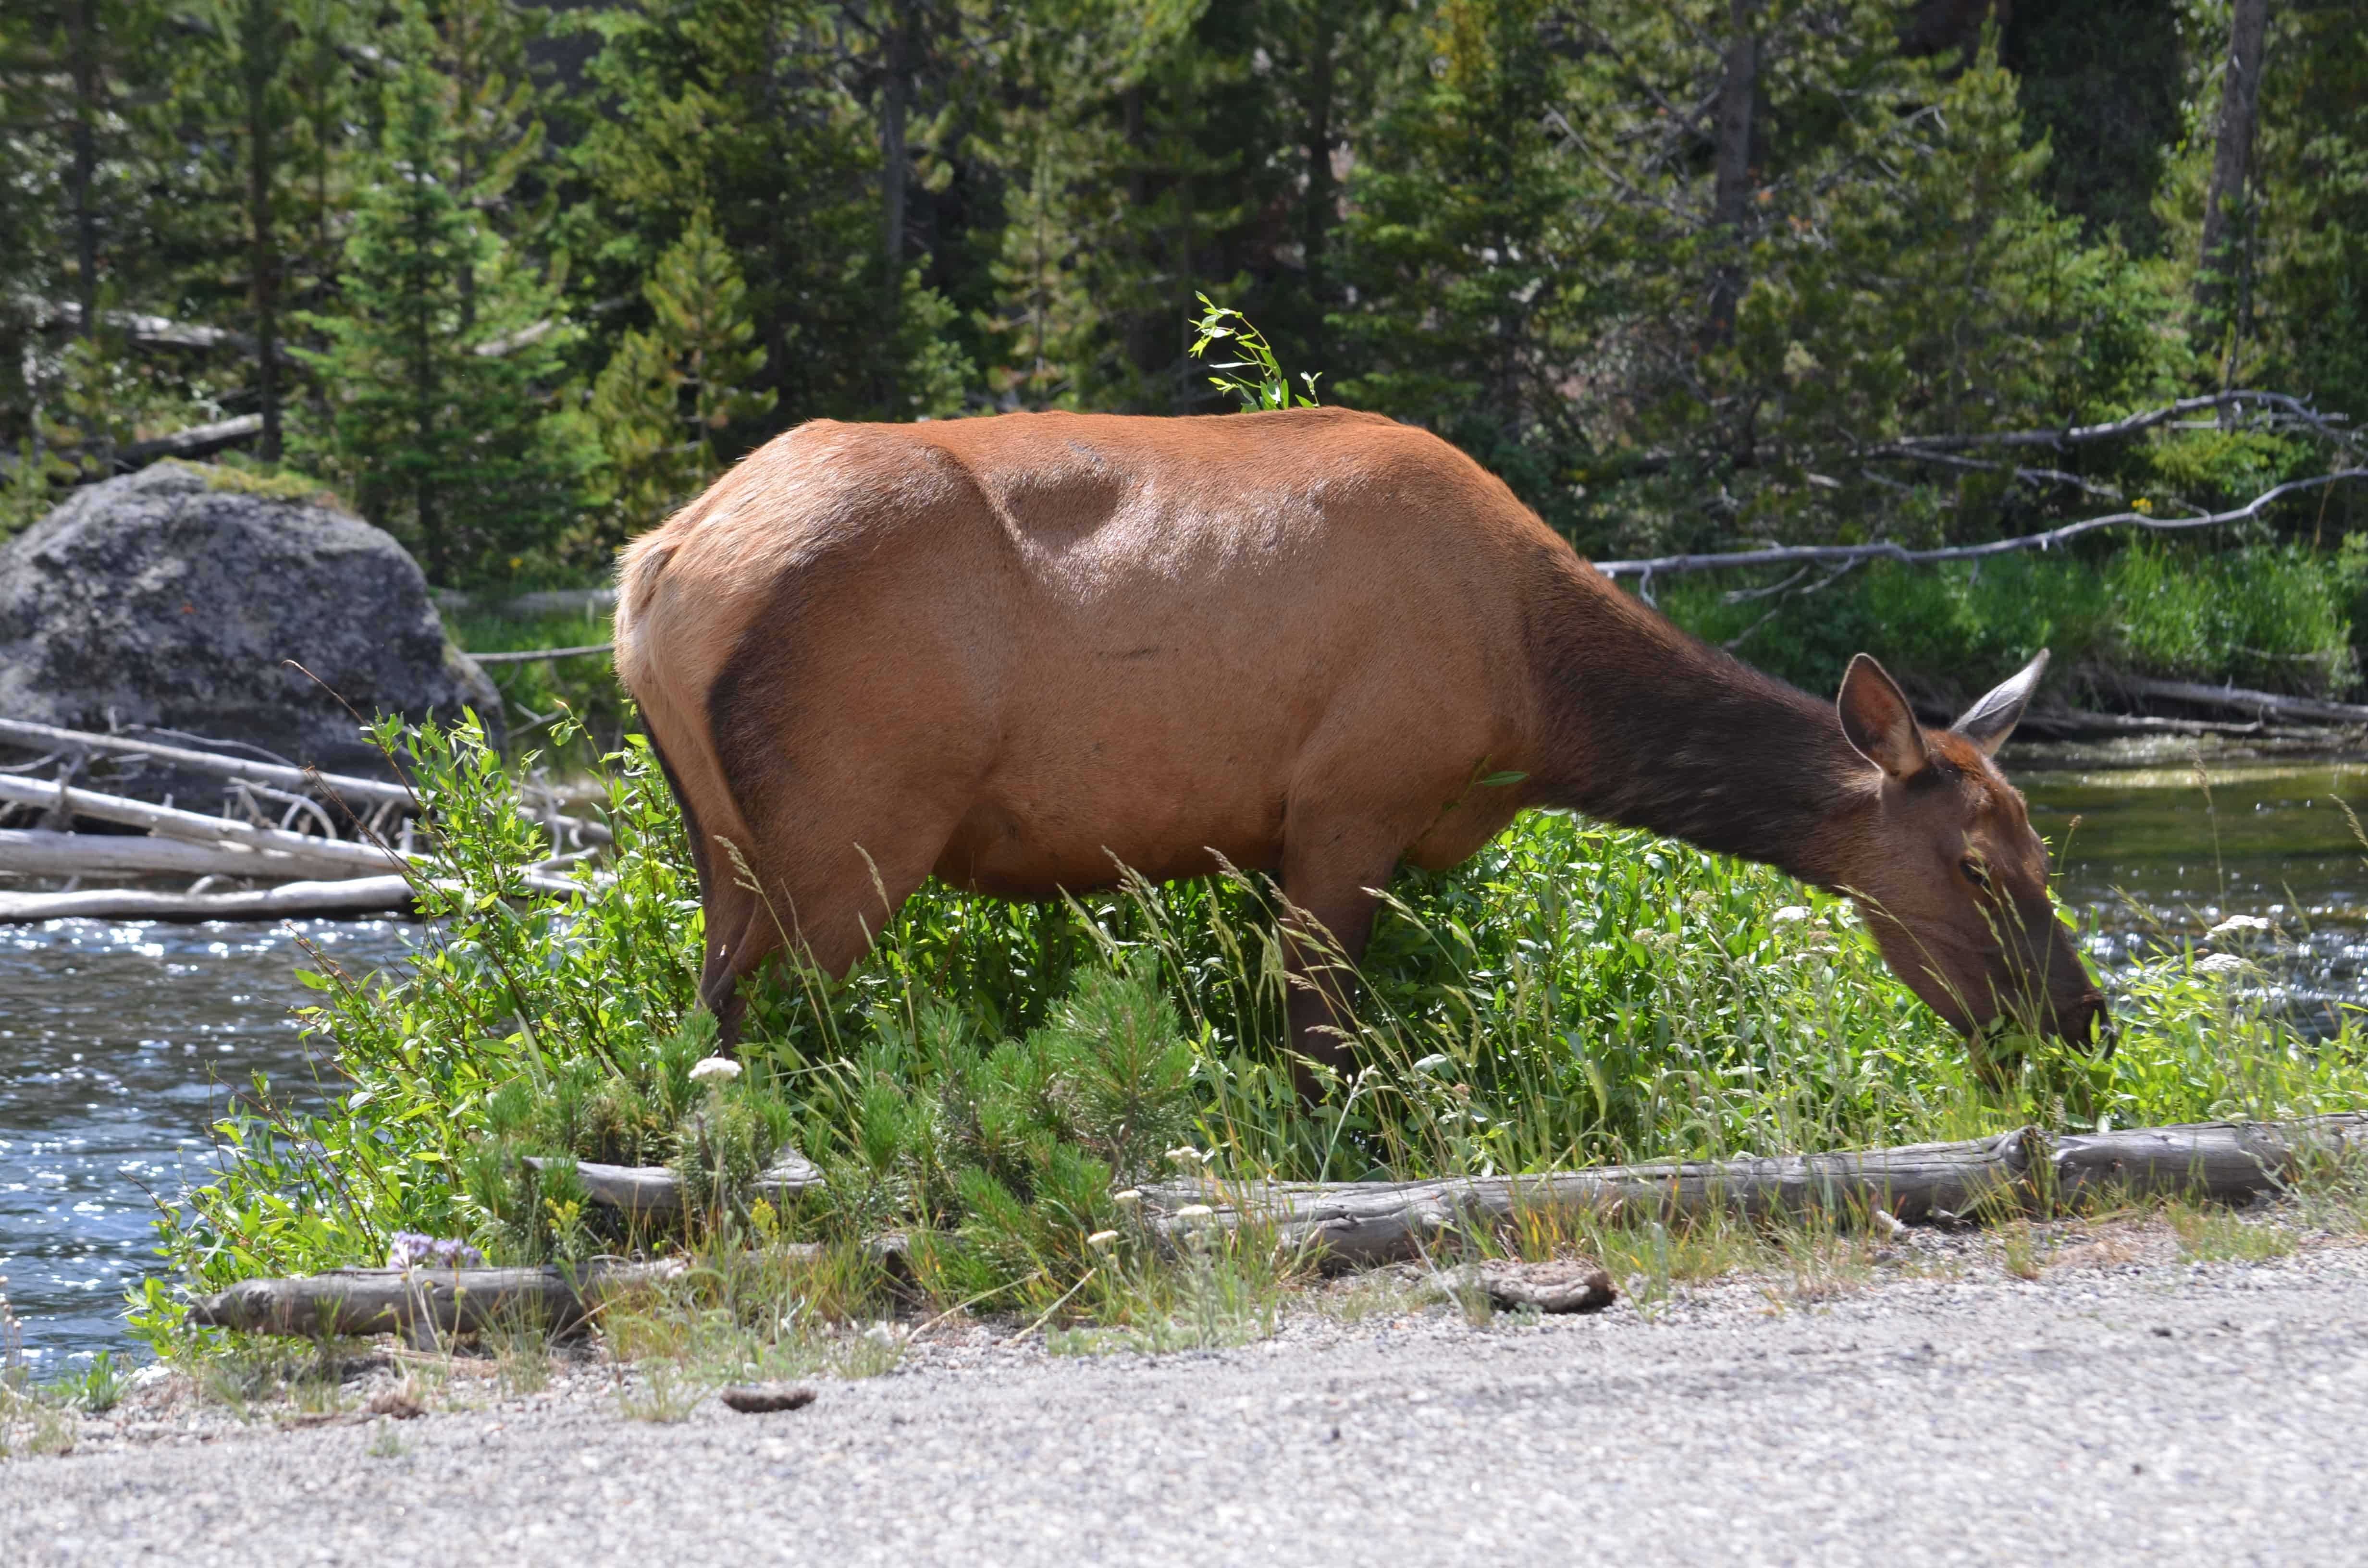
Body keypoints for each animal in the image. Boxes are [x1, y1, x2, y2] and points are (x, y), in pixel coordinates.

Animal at [615, 405, 2107, 1093]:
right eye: (1975, 868)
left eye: (2047, 848)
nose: (2083, 1023)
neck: (1534, 704)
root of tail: (657, 565)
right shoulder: (1352, 800)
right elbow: (1320, 1047)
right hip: (853, 821)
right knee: (768, 1021)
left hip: (726, 835)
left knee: (705, 1006)